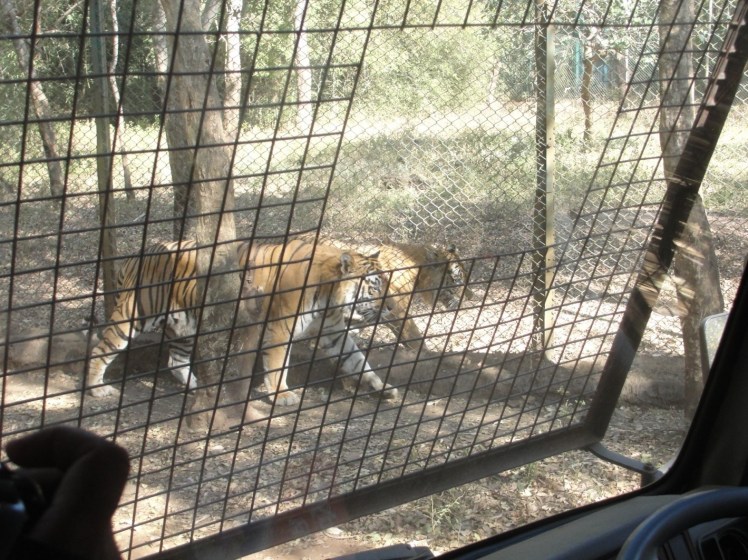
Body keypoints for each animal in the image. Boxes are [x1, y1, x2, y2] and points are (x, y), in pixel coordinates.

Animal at [237, 238, 398, 407]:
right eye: (375, 288)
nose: (392, 307)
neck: (329, 296)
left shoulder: (333, 333)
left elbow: (356, 359)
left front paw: (380, 386)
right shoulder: (279, 330)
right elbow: (278, 364)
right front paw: (282, 394)